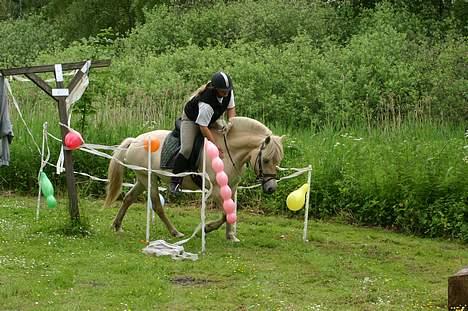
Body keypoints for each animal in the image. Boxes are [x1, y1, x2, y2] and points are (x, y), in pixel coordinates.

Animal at [103, 116, 284, 241]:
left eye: (278, 161)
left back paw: (116, 226)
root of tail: (134, 141)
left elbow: (231, 211)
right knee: (156, 205)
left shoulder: (231, 188)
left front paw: (231, 236)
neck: (228, 151)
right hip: (148, 178)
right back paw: (175, 232)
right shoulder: (216, 189)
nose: (271, 188)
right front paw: (207, 228)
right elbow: (226, 213)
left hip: (143, 179)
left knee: (128, 198)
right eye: (266, 160)